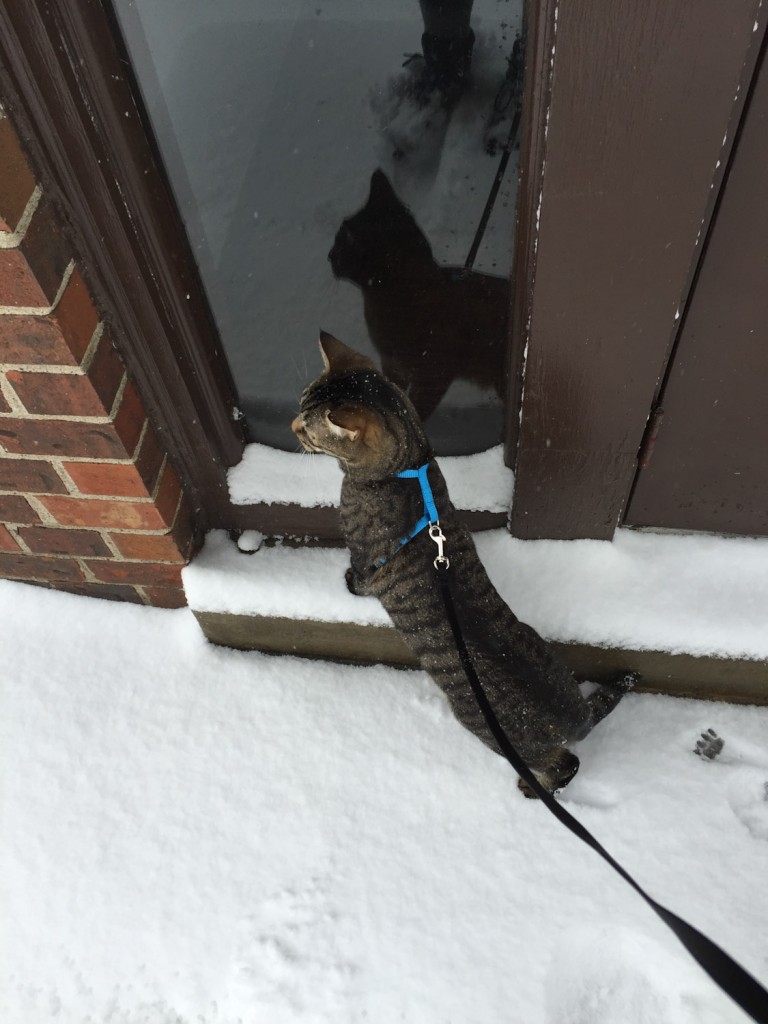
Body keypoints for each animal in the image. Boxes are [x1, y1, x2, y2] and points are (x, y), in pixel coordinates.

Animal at [290, 331, 634, 794]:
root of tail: (574, 714)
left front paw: (346, 582)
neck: (410, 467)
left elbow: (359, 576)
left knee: (566, 764)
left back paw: (533, 787)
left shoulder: (367, 559)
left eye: (309, 428)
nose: (292, 426)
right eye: (299, 407)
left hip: (484, 729)